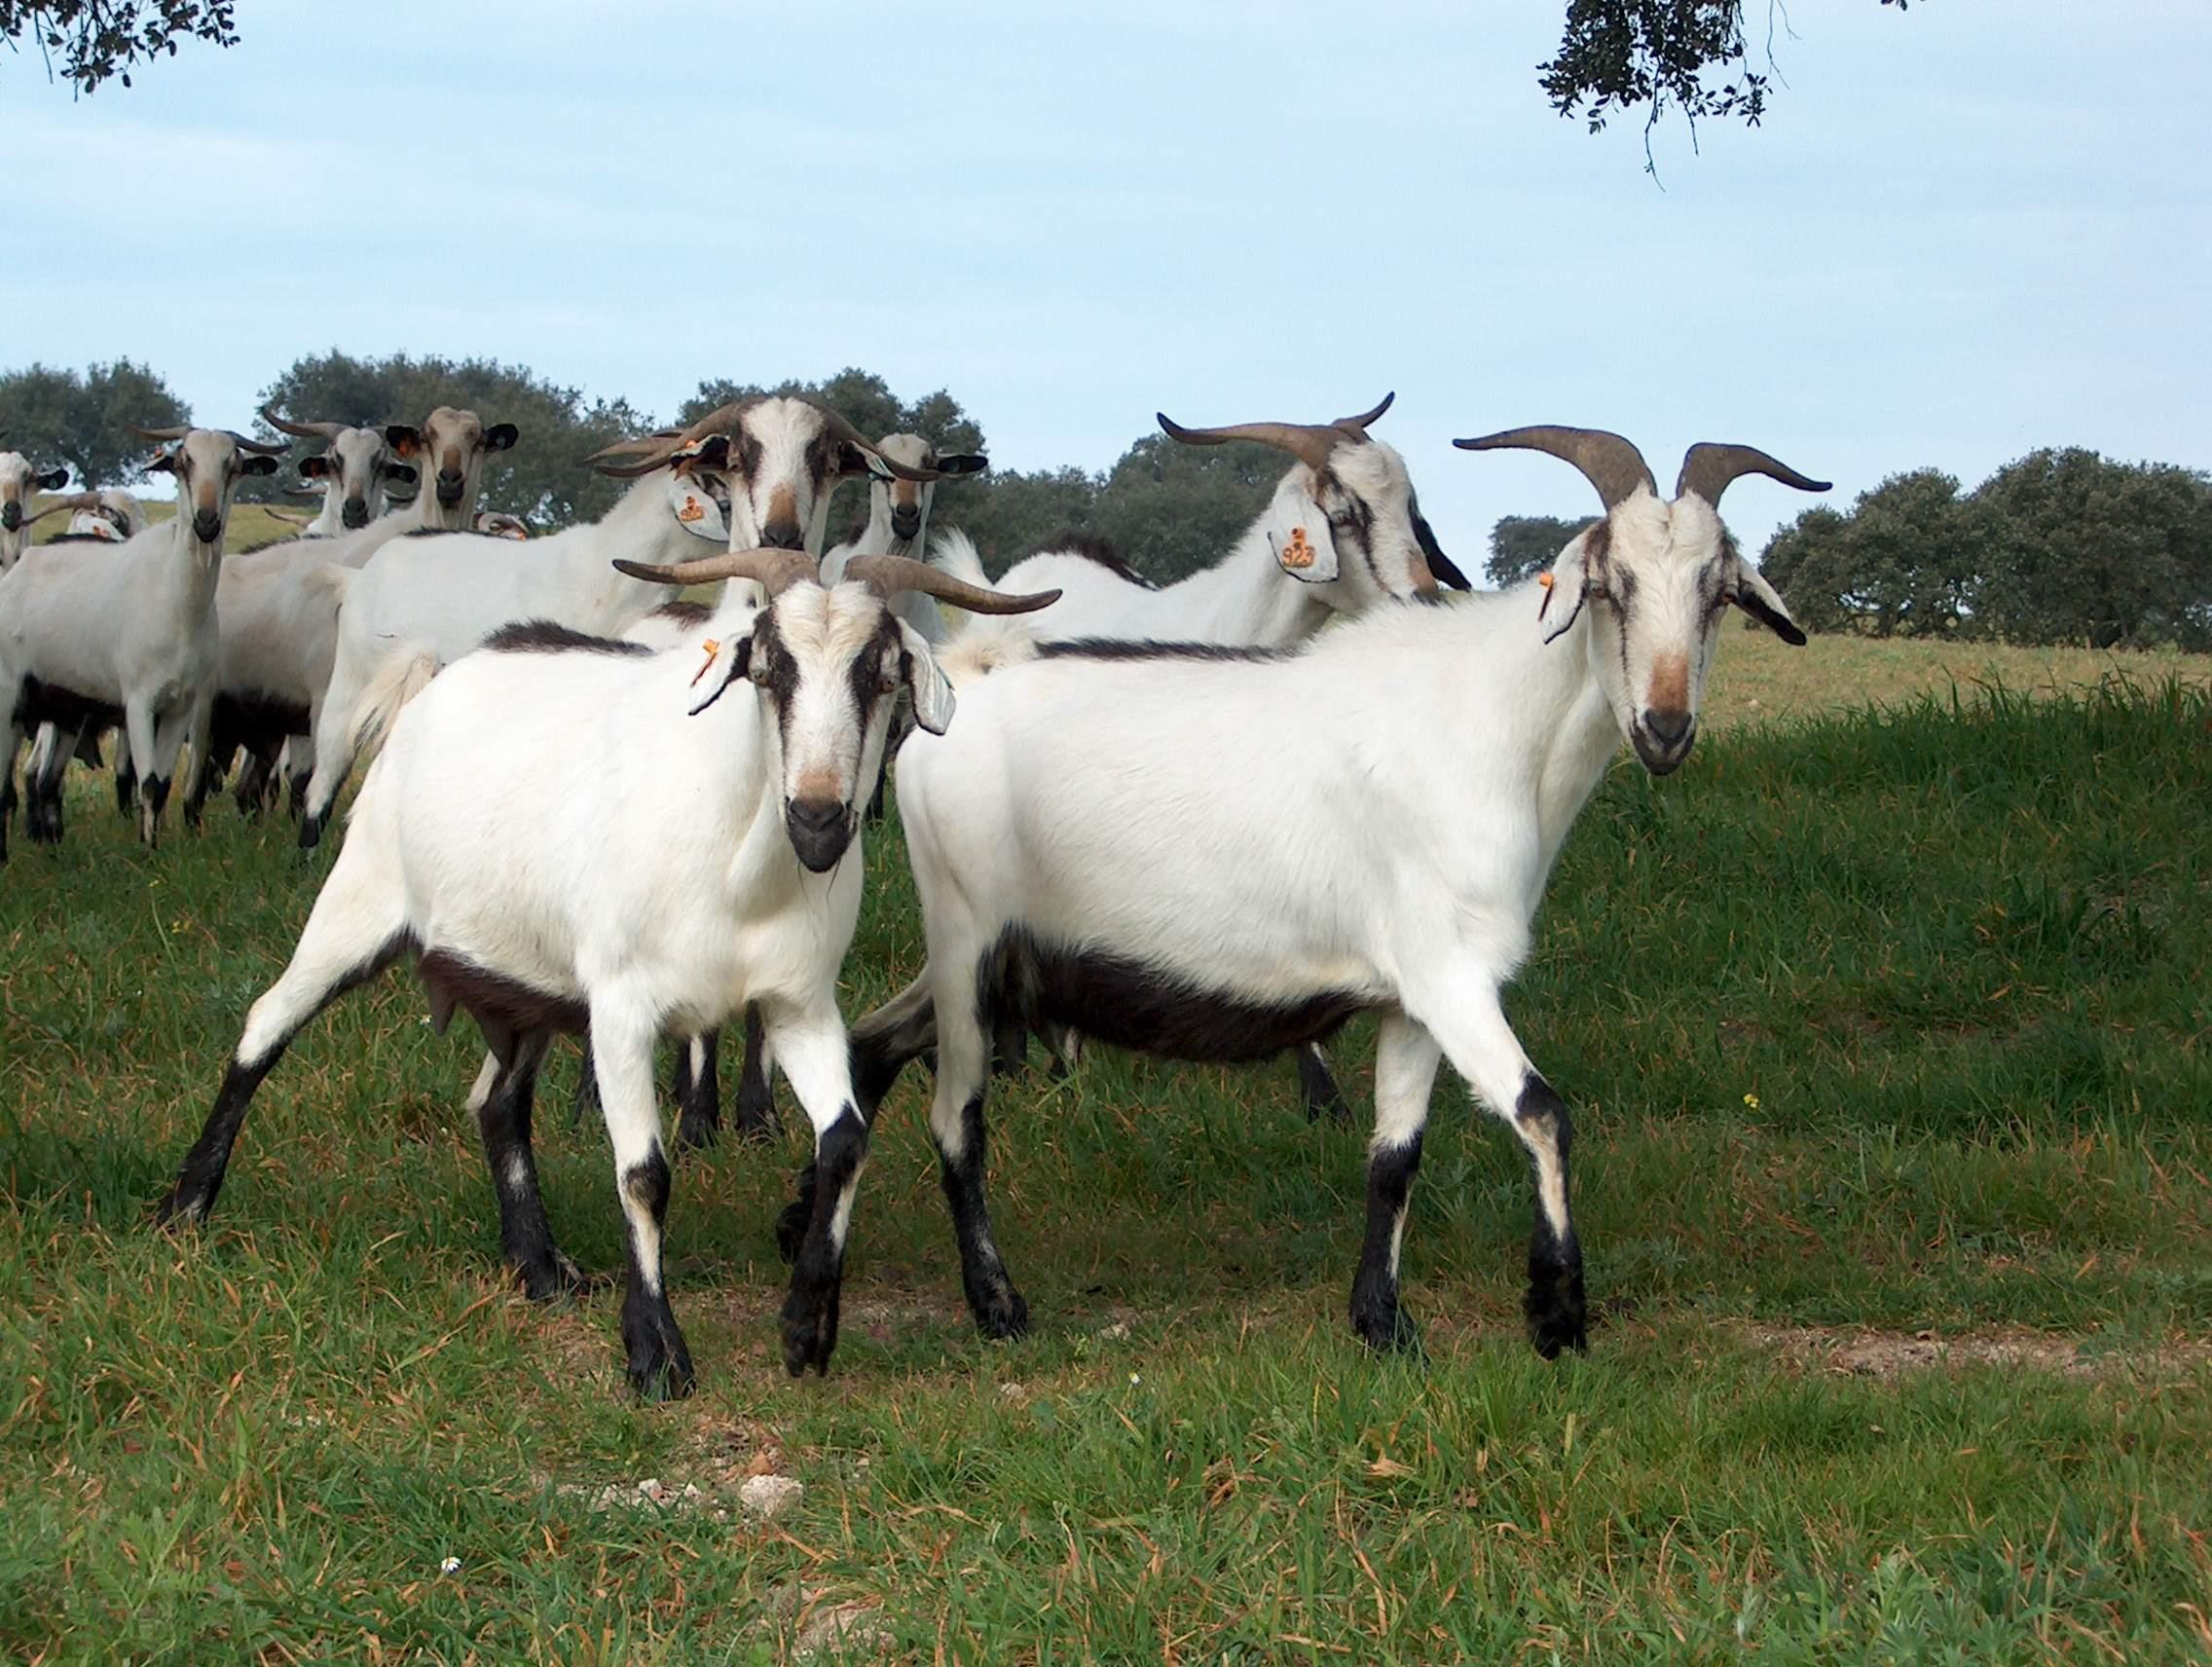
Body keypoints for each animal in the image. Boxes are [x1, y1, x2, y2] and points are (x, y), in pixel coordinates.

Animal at [160, 545, 1057, 1388]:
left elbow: (845, 1139)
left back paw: (542, 1268)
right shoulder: (624, 1008)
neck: (737, 867)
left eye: (881, 673)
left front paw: (808, 1327)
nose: (817, 817)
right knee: (265, 1026)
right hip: (361, 899)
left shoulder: (799, 1006)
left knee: (497, 1103)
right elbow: (644, 1174)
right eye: (767, 668)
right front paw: (656, 1354)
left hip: (527, 985)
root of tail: (449, 675)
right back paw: (185, 1208)